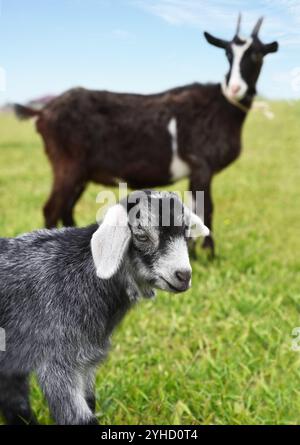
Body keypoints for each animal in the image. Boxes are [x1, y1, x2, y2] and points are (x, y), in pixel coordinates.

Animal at [0, 190, 209, 424]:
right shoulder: (57, 360)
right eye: (142, 236)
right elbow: (78, 416)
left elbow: (90, 401)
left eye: (186, 233)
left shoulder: (86, 360)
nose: (183, 275)